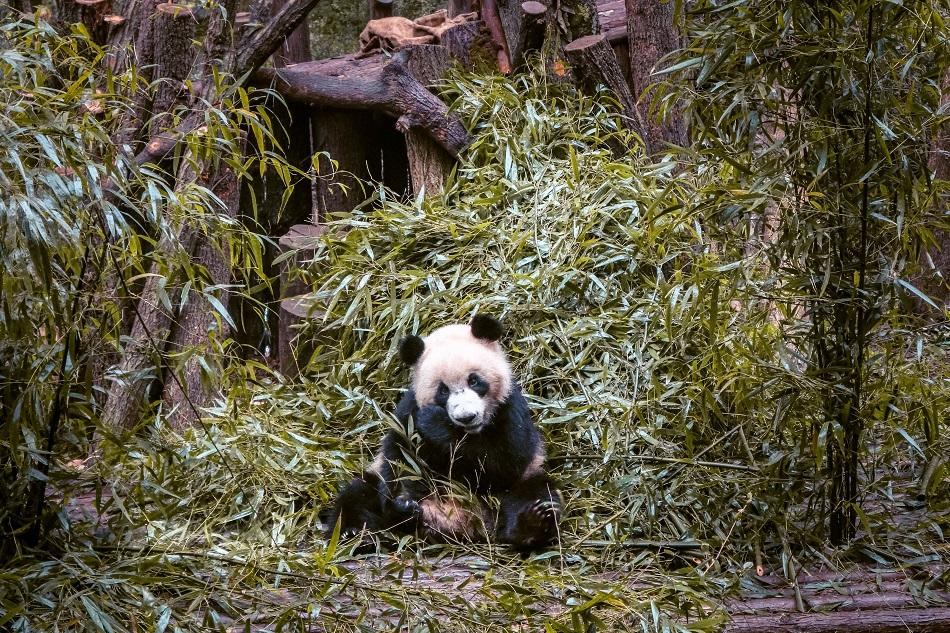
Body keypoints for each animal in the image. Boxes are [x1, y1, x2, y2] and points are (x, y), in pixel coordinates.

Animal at [328, 314, 562, 549]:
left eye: (474, 380)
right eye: (443, 390)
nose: (466, 417)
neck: (470, 432)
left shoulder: (510, 407)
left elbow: (506, 462)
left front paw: (434, 422)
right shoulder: (408, 412)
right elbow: (398, 458)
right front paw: (402, 504)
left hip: (521, 484)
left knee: (535, 493)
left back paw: (531, 524)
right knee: (358, 495)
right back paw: (358, 533)